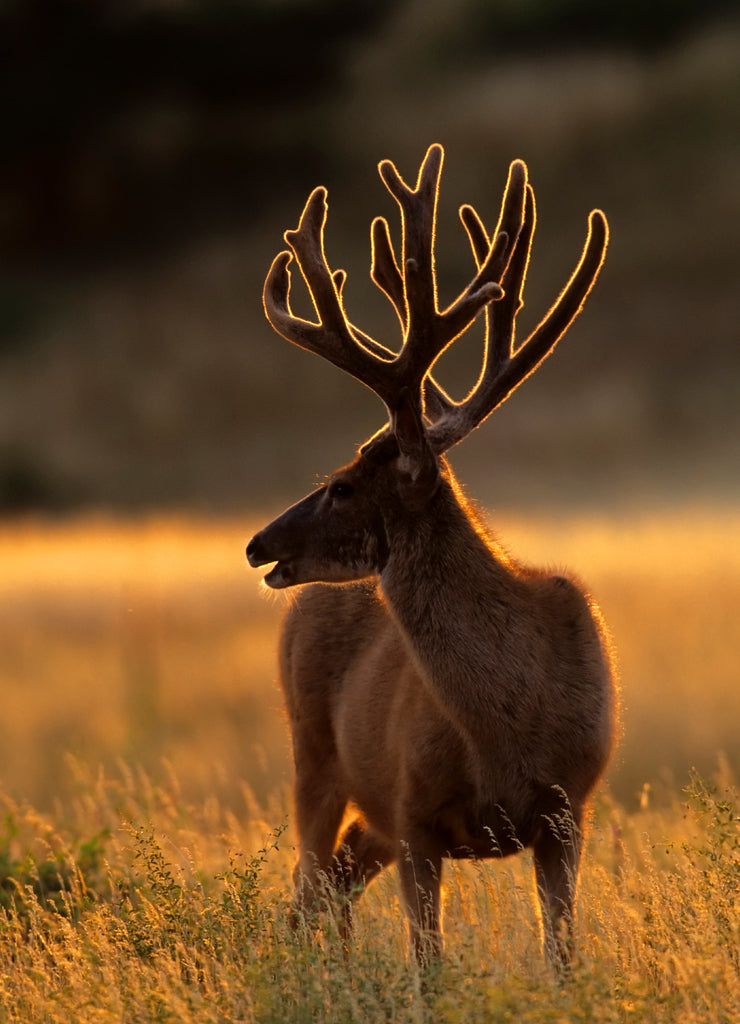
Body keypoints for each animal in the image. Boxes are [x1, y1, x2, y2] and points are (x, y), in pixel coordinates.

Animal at [246, 143, 616, 969]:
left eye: (342, 486)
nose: (258, 544)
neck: (506, 730)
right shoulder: (414, 811)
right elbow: (429, 966)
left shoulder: (568, 811)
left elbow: (562, 958)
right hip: (311, 750)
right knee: (306, 887)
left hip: (359, 802)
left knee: (332, 881)